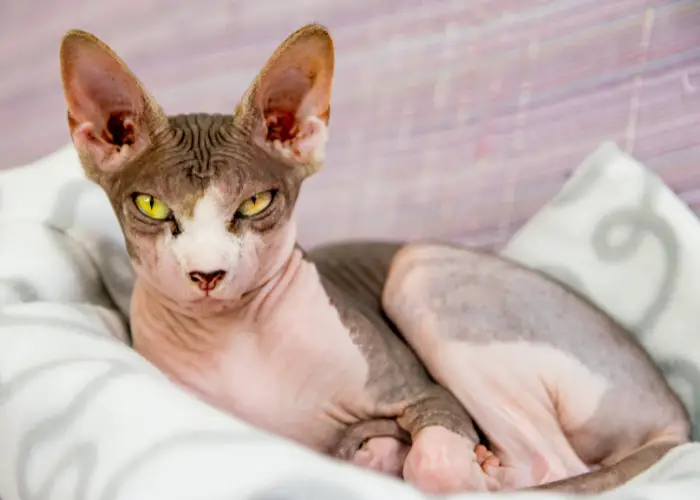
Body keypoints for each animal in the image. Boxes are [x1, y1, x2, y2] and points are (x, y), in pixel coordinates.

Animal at [58, 24, 688, 496]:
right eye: (151, 205)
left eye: (256, 203)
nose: (207, 274)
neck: (234, 339)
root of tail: (674, 408)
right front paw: (378, 451)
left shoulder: (422, 394)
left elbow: (436, 463)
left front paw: (437, 460)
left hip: (421, 270)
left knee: (554, 466)